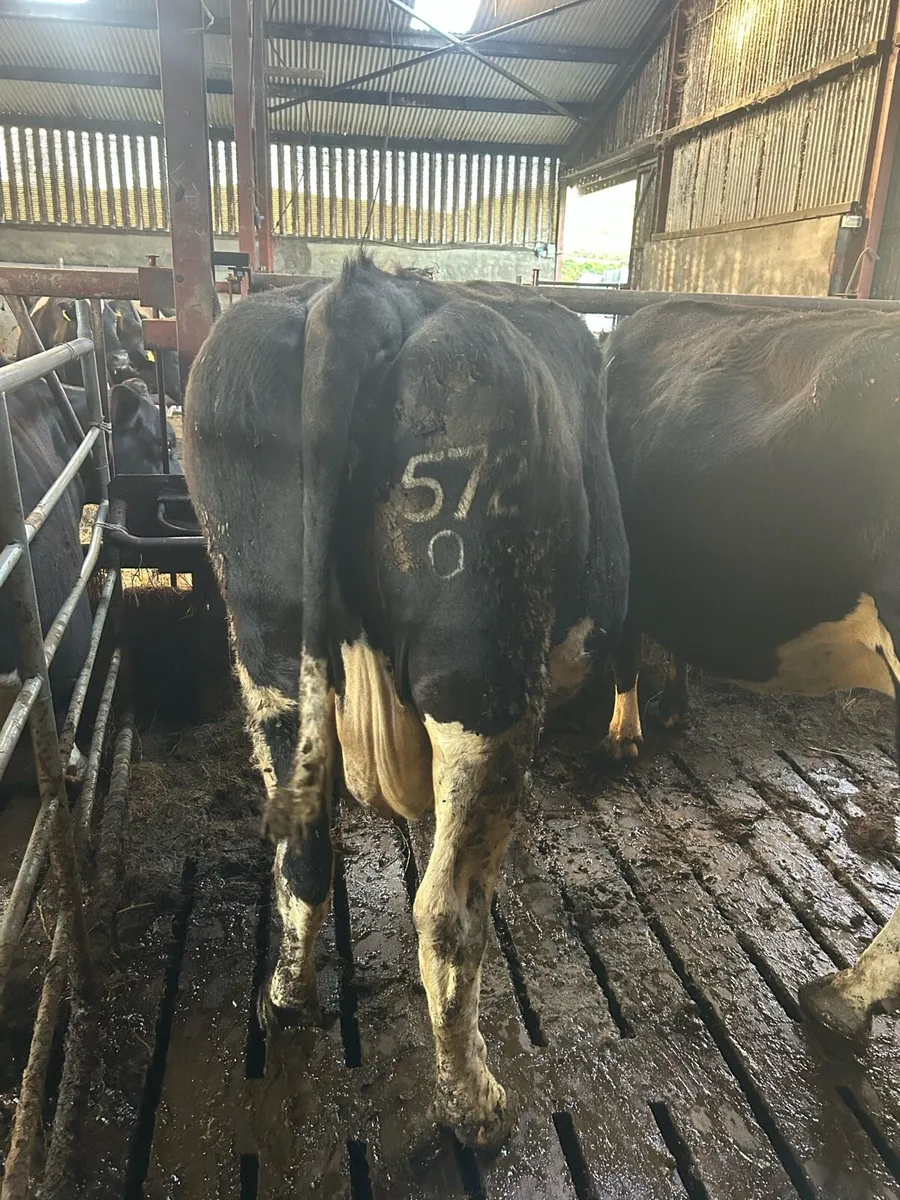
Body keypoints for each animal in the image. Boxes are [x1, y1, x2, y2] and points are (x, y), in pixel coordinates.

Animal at [183, 255, 629, 1147]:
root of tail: (362, 289)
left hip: (269, 656)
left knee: (303, 857)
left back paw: (286, 1000)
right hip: (485, 679)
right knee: (447, 914)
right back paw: (474, 1100)